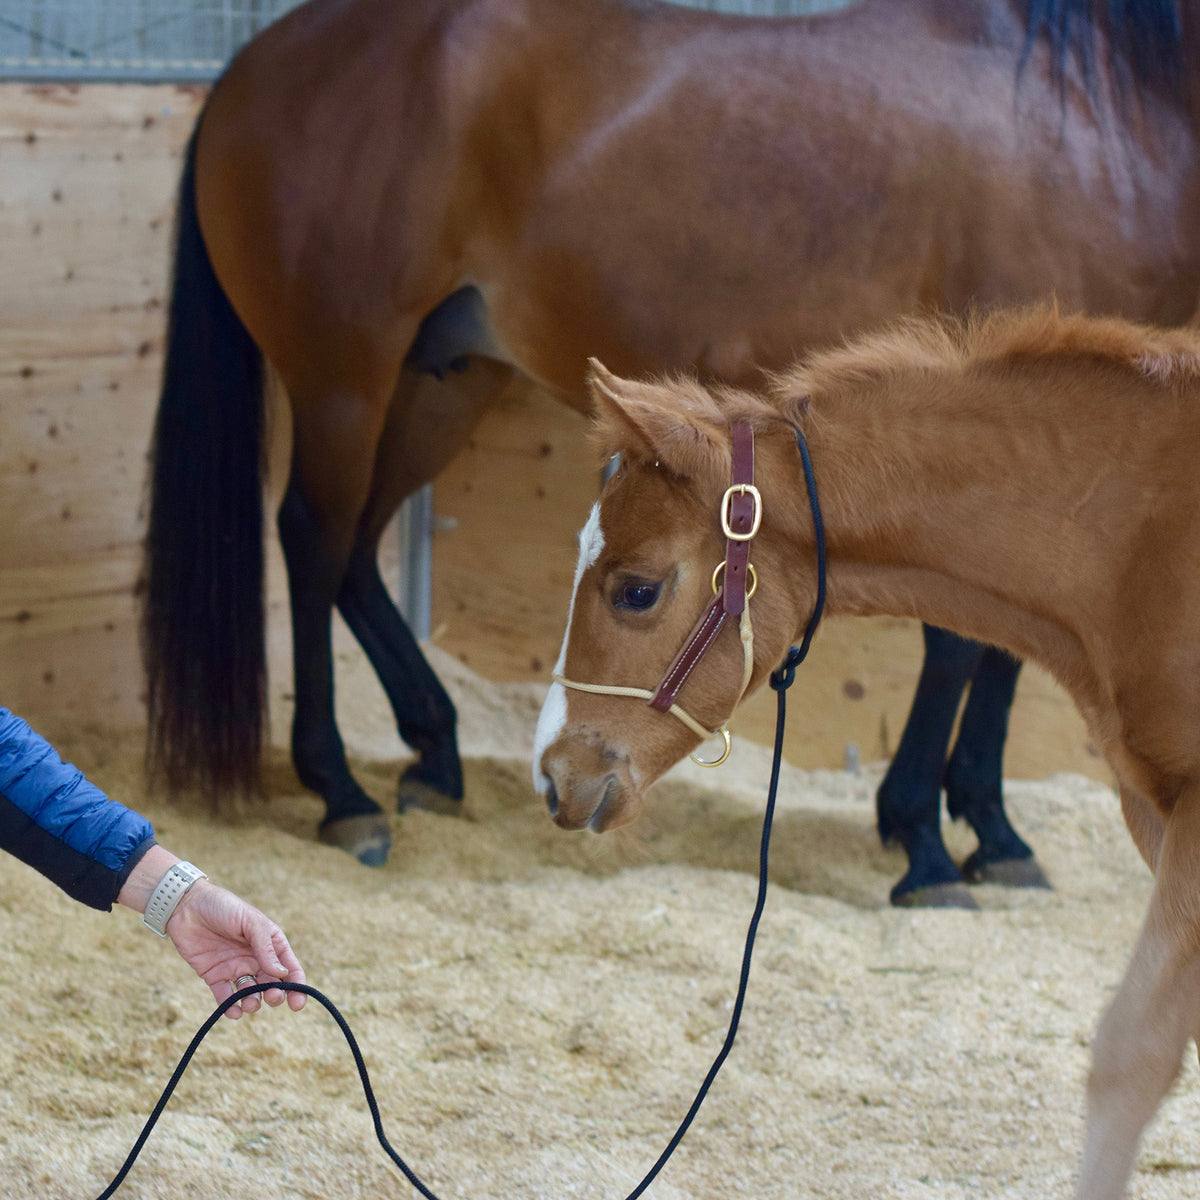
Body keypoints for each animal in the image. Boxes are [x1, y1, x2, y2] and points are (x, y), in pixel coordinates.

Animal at [140, 0, 1200, 891]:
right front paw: (928, 838)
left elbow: (1011, 637)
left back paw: (434, 754)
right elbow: (965, 640)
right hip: (343, 375)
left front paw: (991, 828)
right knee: (314, 540)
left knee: (359, 548)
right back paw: (344, 793)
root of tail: (254, 63)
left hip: (443, 379)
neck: (1096, 109)